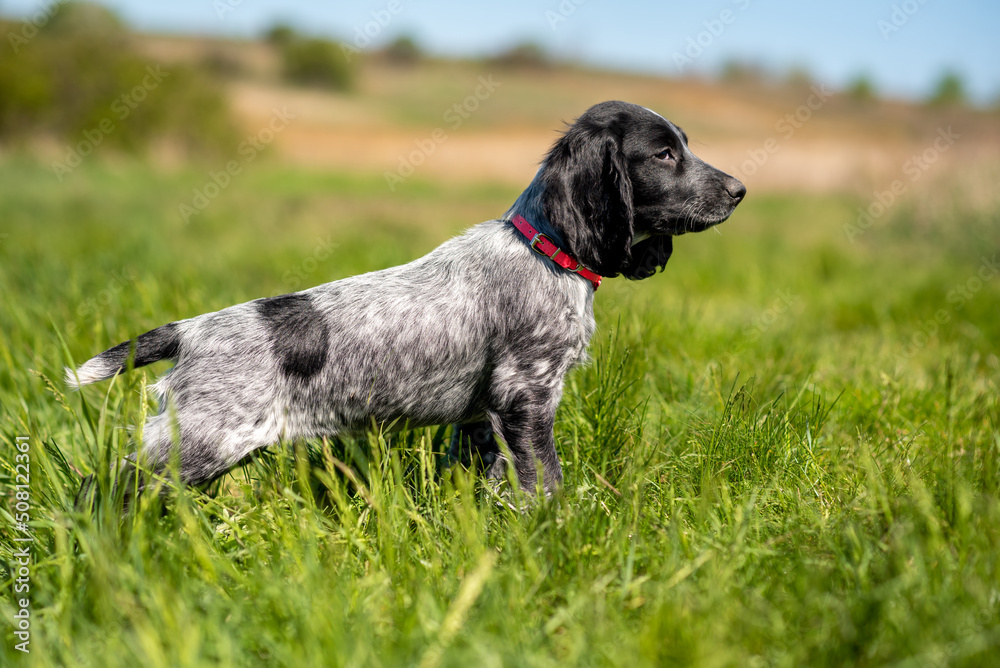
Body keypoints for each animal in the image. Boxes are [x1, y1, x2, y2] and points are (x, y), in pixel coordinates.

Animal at [66, 99, 748, 496]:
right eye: (664, 153)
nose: (740, 189)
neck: (543, 250)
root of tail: (191, 331)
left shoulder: (482, 418)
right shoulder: (526, 395)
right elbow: (546, 479)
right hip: (200, 441)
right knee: (106, 491)